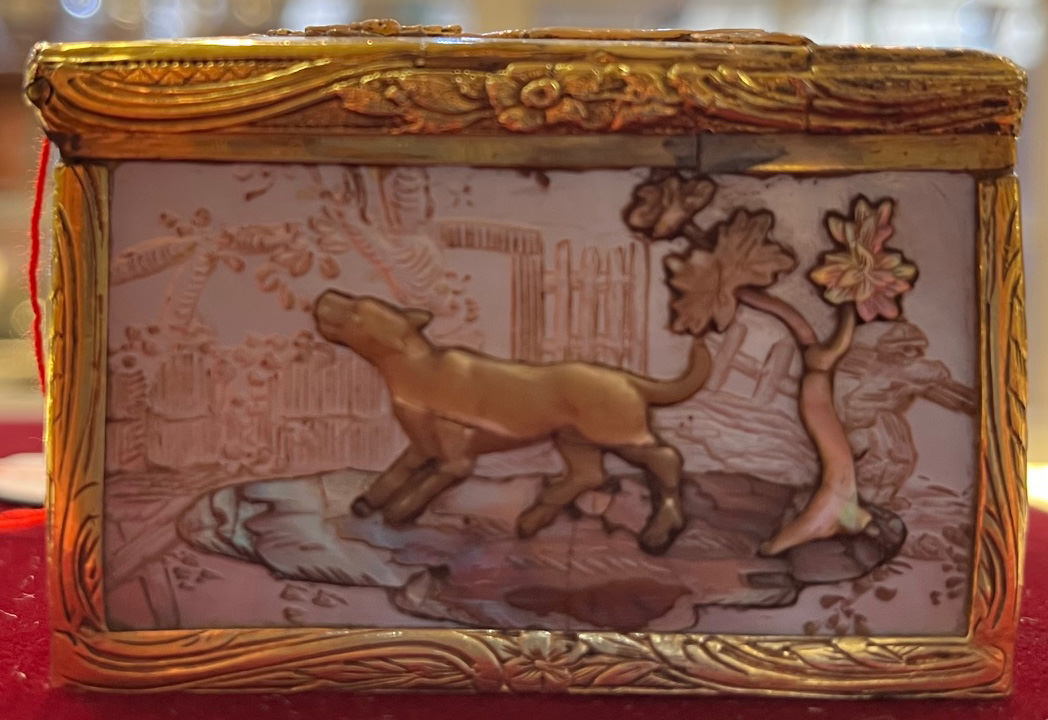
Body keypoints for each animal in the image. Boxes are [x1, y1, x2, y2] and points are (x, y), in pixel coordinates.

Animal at [313, 290, 711, 554]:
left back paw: (660, 529)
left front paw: (399, 511)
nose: (324, 295)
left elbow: (427, 482)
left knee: (667, 458)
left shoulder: (456, 459)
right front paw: (367, 502)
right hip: (574, 440)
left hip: (622, 436)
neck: (417, 369)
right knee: (589, 474)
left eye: (357, 311)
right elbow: (395, 472)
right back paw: (536, 515)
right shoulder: (421, 443)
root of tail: (631, 379)